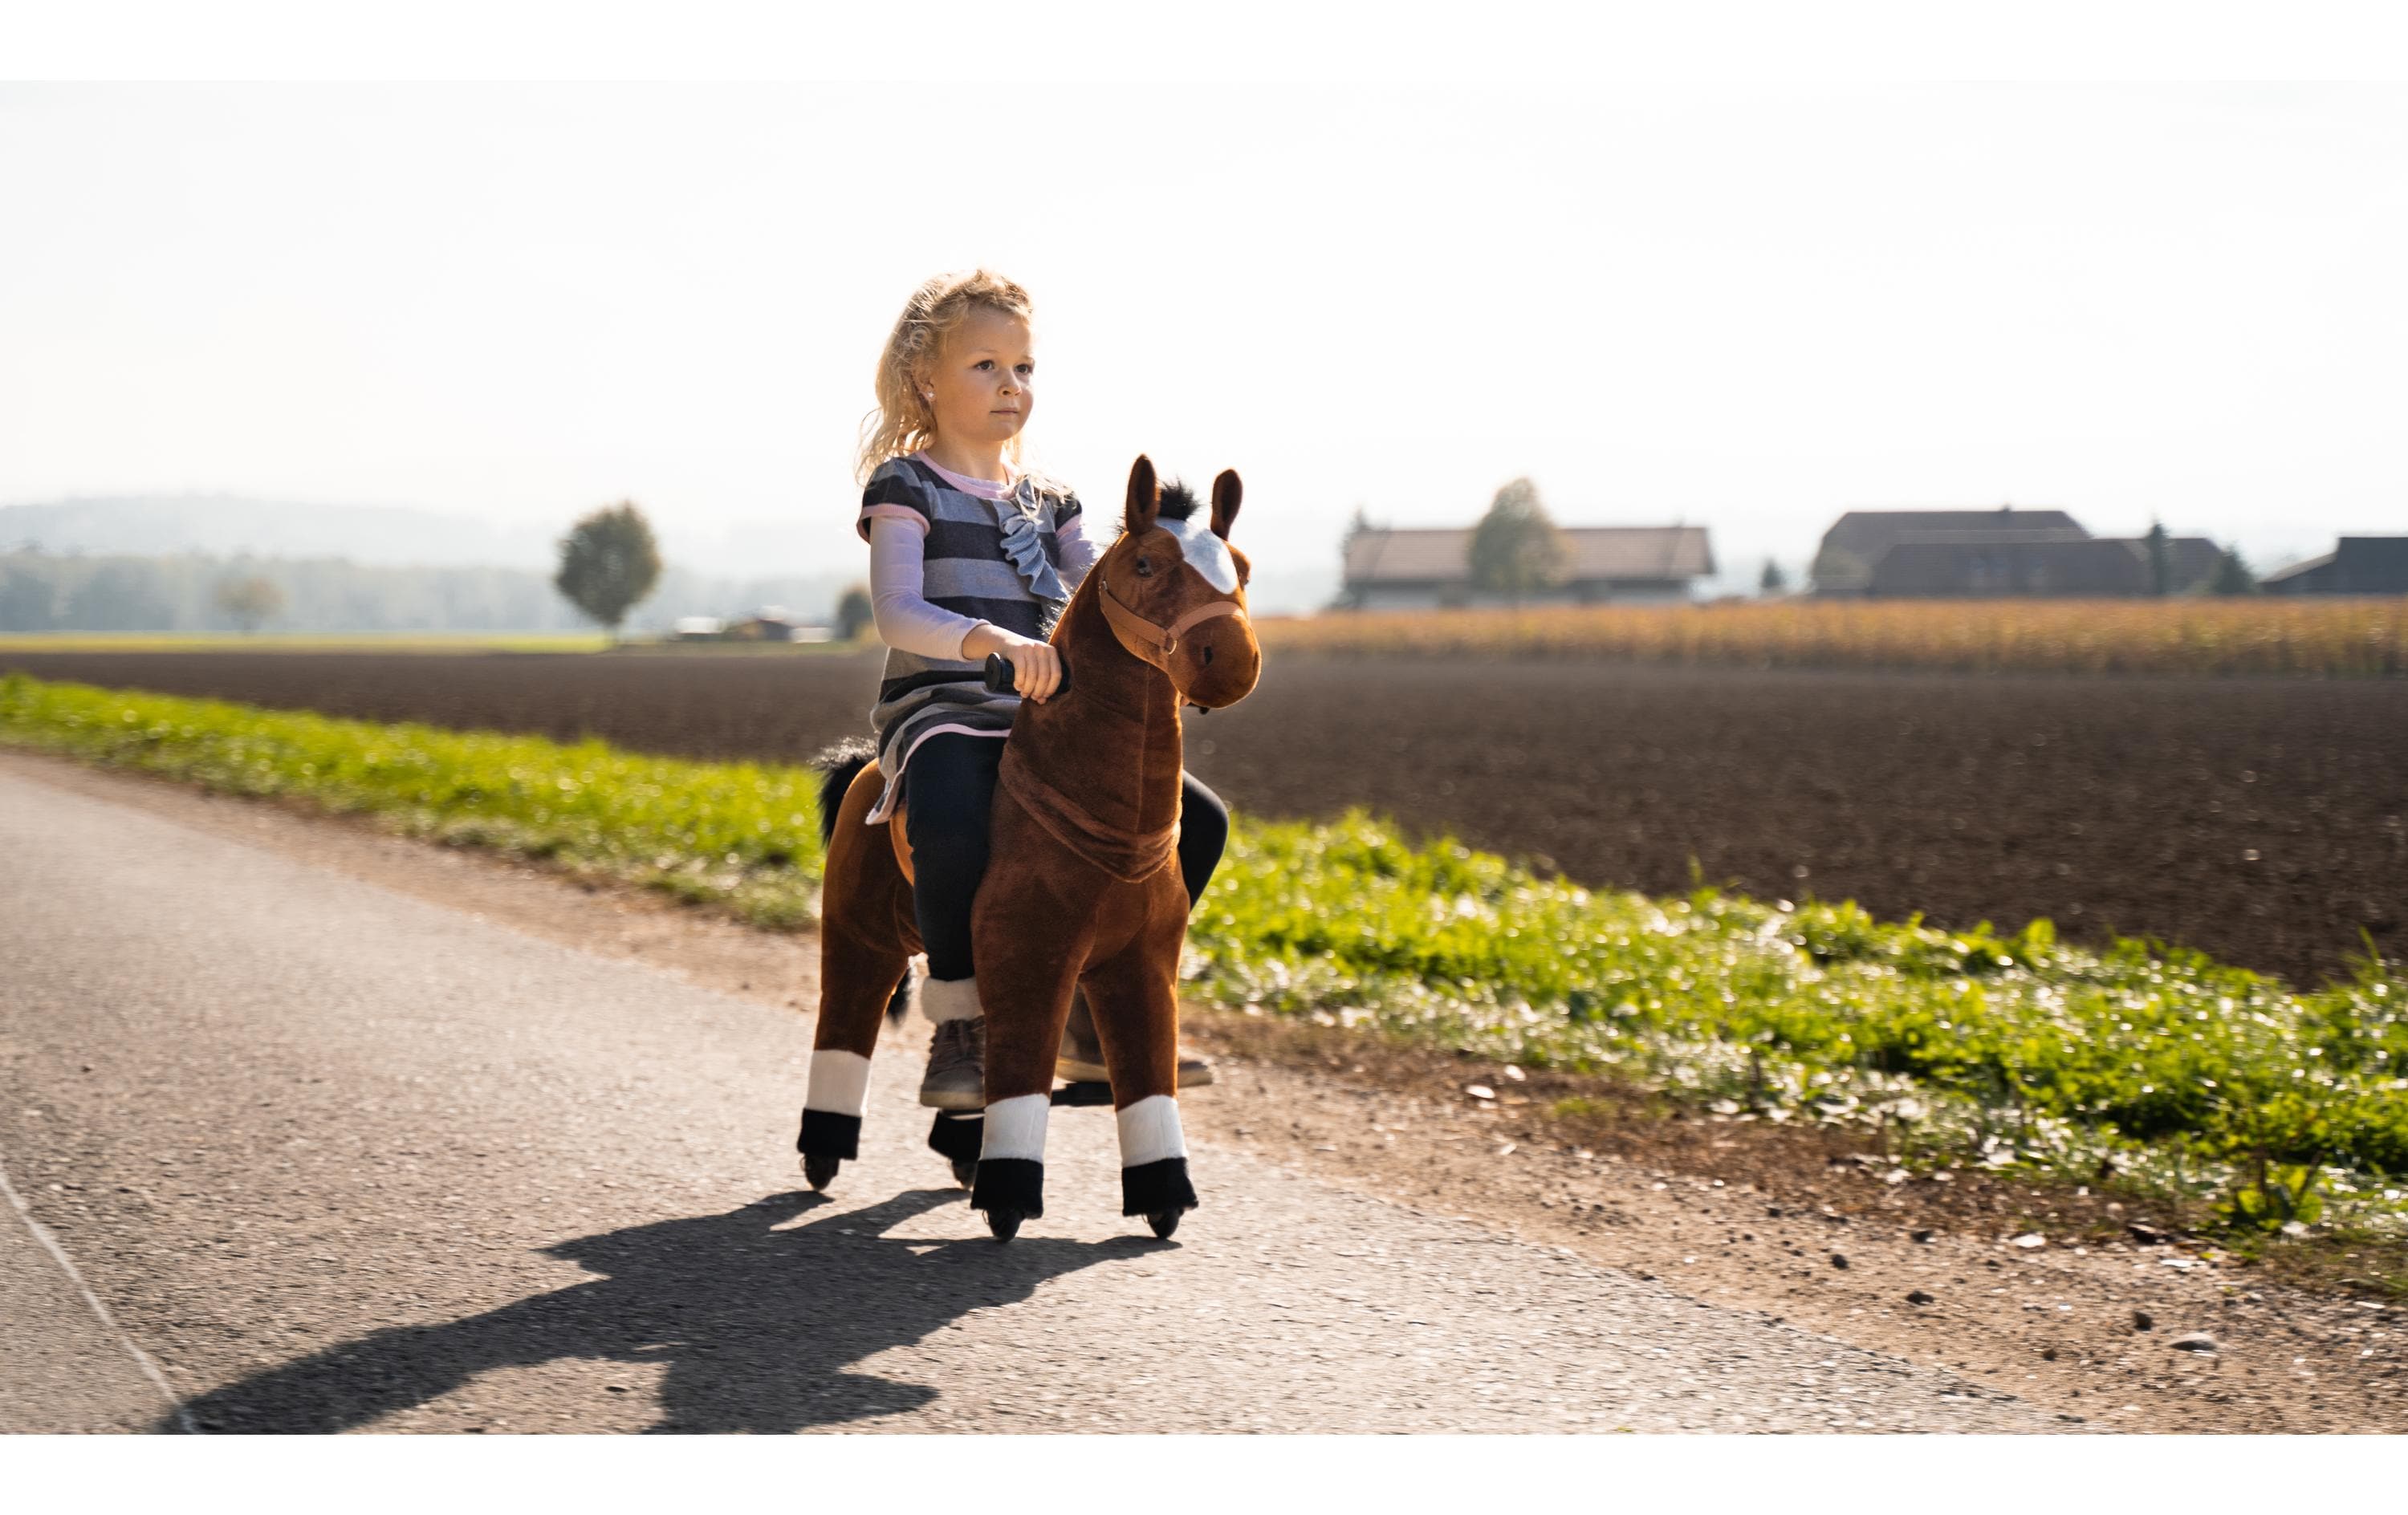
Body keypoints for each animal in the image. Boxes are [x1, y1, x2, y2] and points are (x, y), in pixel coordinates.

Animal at [796, 455, 1261, 1241]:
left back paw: (960, 1140)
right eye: (1146, 564)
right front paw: (1009, 1195)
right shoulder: (1029, 953)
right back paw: (829, 1149)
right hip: (861, 935)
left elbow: (1149, 1077)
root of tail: (864, 765)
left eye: (1244, 570)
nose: (1230, 662)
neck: (1108, 827)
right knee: (851, 1024)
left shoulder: (1142, 962)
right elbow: (1021, 1077)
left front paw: (1165, 1194)